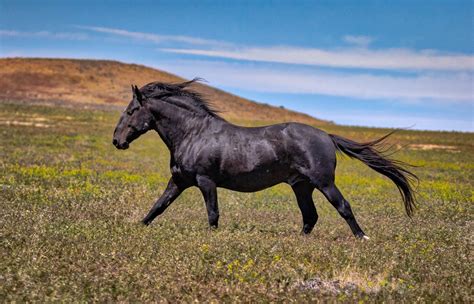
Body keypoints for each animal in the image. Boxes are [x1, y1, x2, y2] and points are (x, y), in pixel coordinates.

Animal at [112, 79, 414, 240]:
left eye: (132, 110)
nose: (117, 141)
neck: (193, 134)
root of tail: (326, 136)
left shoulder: (205, 181)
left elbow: (212, 214)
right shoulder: (178, 181)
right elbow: (157, 207)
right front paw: (136, 228)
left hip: (323, 182)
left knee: (343, 207)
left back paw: (363, 237)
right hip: (301, 185)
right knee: (310, 216)